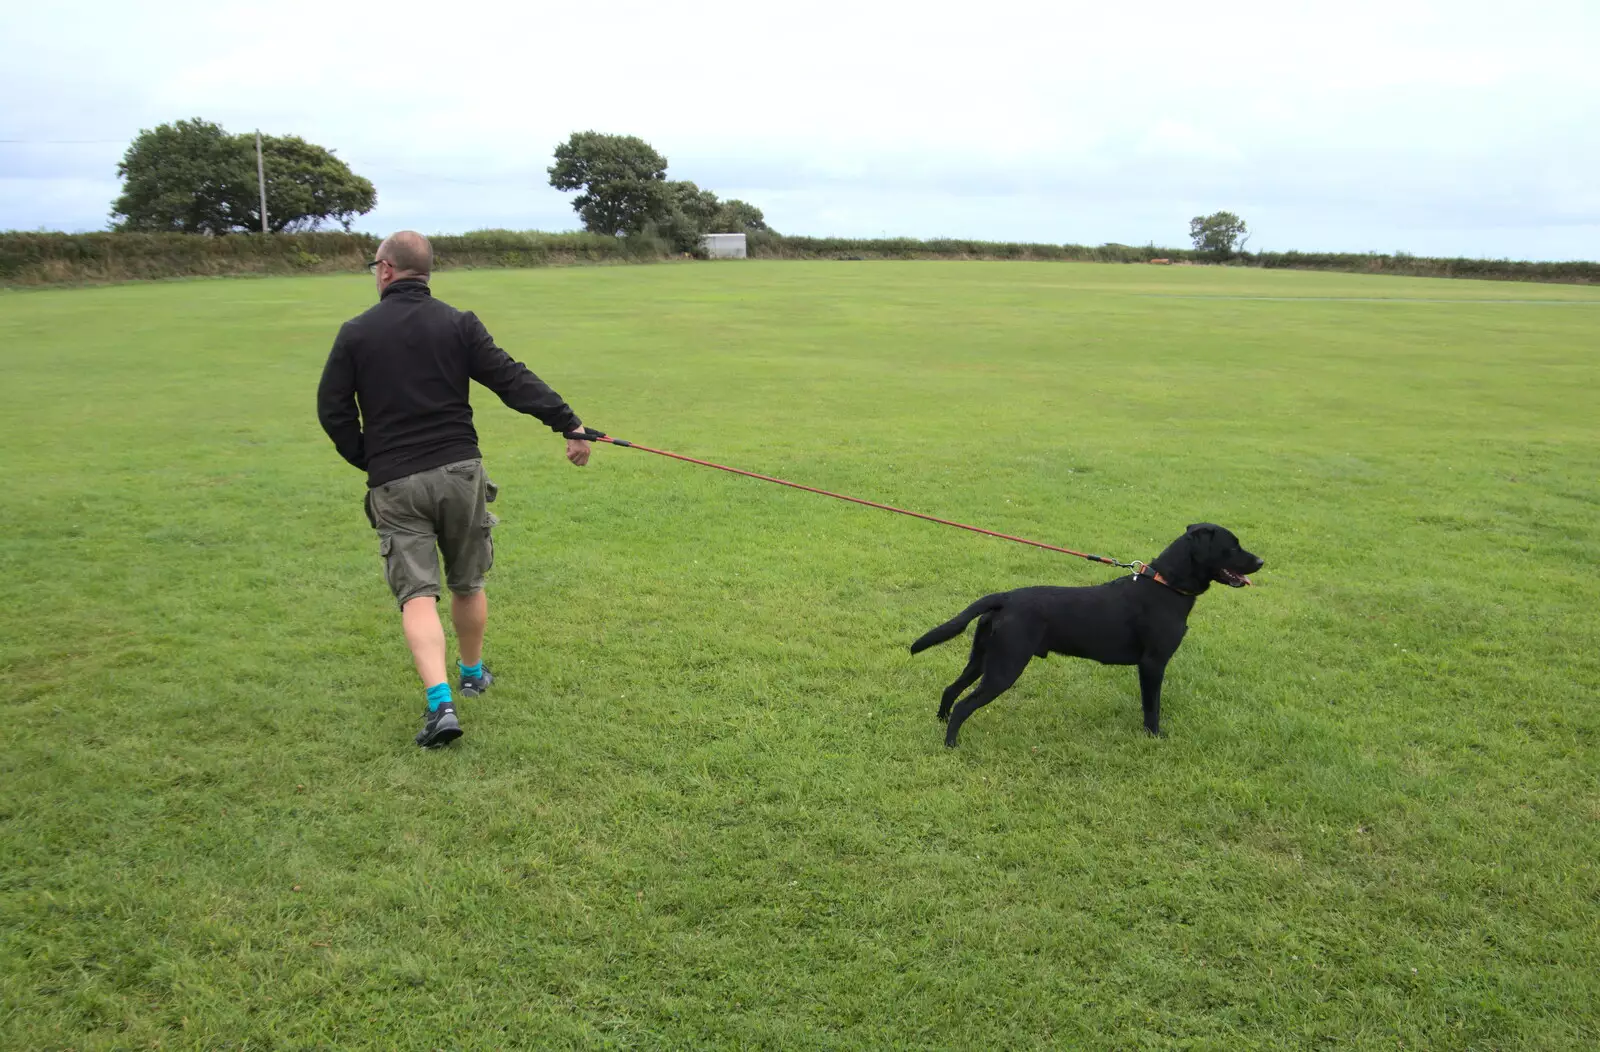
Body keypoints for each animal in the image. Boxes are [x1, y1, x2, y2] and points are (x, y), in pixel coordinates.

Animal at [915, 521, 1260, 741]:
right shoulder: (1153, 664)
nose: (1261, 561)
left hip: (982, 659)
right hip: (1005, 667)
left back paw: (940, 723)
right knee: (963, 705)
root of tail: (1005, 598)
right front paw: (1155, 737)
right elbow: (1153, 706)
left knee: (951, 690)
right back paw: (951, 744)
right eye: (1233, 546)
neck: (1166, 586)